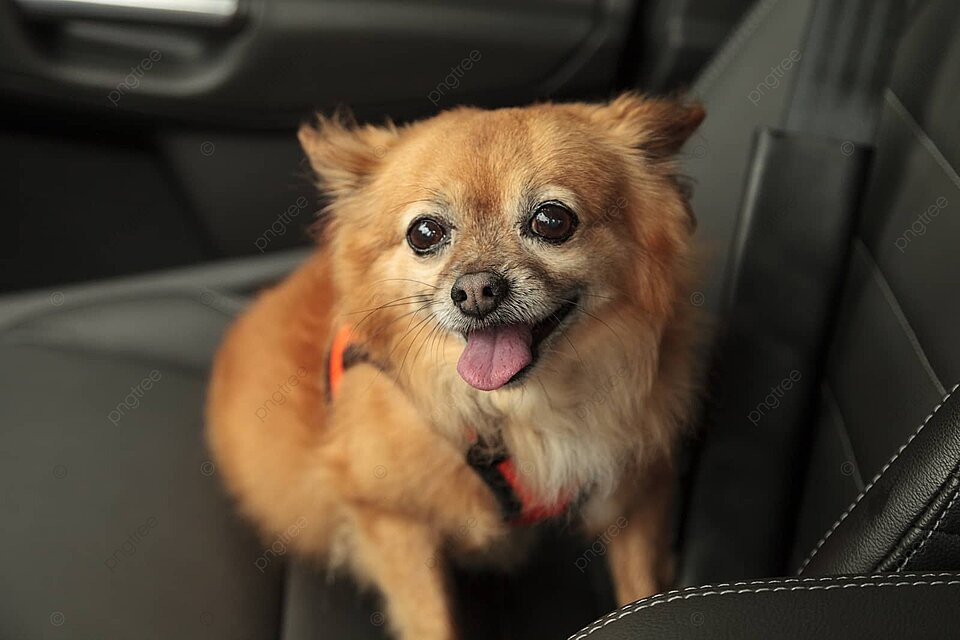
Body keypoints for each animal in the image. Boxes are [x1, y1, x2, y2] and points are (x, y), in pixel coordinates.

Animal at [206, 92, 704, 636]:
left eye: (552, 221)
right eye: (424, 233)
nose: (476, 290)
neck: (514, 411)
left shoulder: (639, 488)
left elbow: (643, 586)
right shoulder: (392, 520)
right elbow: (432, 621)